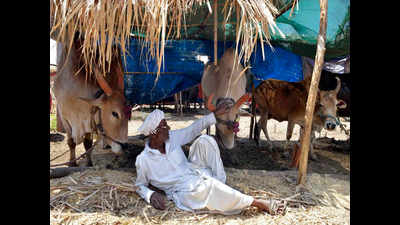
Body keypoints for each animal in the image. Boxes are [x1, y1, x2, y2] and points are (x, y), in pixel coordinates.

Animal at [53, 34, 130, 165]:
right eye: (115, 113)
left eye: (129, 113)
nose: (124, 146)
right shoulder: (64, 117)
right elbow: (71, 142)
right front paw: (72, 163)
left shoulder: (88, 119)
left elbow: (87, 143)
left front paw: (89, 163)